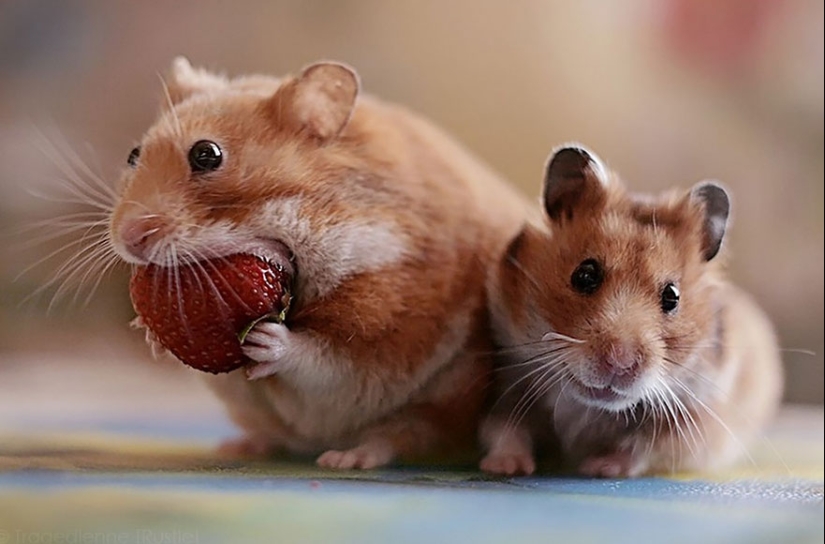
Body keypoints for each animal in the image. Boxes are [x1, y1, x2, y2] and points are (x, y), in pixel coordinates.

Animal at [110, 58, 531, 469]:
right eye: (133, 155)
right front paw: (149, 334)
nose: (130, 239)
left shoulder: (383, 326)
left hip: (442, 400)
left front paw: (266, 340)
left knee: (399, 437)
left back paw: (345, 459)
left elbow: (323, 361)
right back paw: (239, 447)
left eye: (206, 154)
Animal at [480, 145, 783, 477]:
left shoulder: (695, 421)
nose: (619, 363)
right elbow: (505, 429)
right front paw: (505, 468)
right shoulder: (507, 385)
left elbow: (641, 448)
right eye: (585, 275)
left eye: (672, 296)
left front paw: (596, 467)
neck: (587, 408)